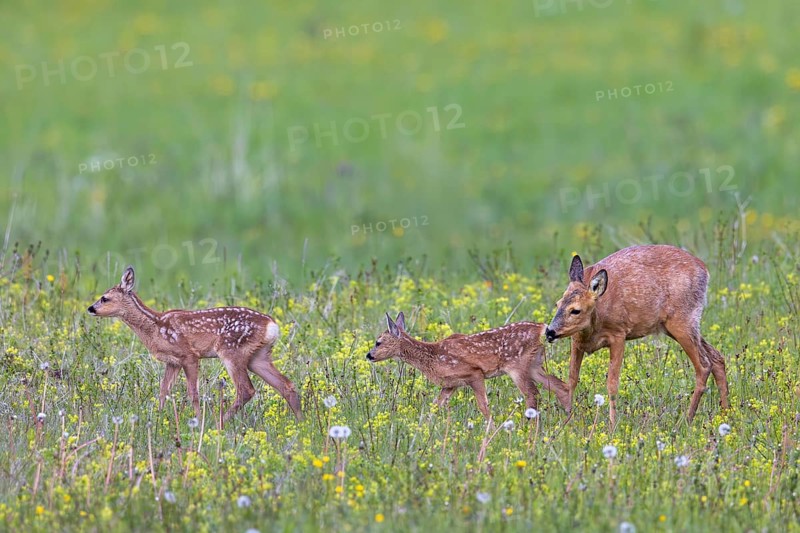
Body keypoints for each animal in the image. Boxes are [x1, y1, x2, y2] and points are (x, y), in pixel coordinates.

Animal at [87, 266, 302, 422]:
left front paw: (198, 420)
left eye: (105, 298)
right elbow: (163, 391)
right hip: (258, 356)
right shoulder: (172, 361)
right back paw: (301, 422)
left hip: (232, 351)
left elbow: (193, 392)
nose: (90, 308)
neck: (155, 327)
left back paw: (219, 422)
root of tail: (272, 326)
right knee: (286, 385)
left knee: (246, 390)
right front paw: (157, 419)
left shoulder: (189, 355)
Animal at [366, 312, 571, 420]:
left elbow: (483, 406)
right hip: (534, 365)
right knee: (560, 387)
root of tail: (542, 328)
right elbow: (435, 406)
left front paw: (490, 431)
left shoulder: (474, 373)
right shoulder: (450, 385)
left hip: (517, 366)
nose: (369, 355)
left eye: (378, 342)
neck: (432, 357)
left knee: (532, 394)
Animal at [544, 245, 730, 424]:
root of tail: (704, 270)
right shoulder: (576, 341)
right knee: (717, 357)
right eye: (558, 304)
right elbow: (571, 380)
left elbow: (612, 383)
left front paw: (612, 425)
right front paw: (567, 421)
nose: (549, 332)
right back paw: (725, 413)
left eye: (576, 310)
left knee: (704, 365)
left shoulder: (619, 334)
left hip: (683, 321)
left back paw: (688, 419)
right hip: (676, 326)